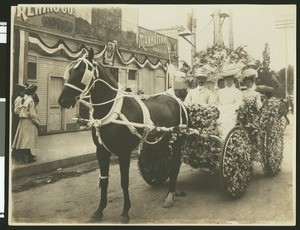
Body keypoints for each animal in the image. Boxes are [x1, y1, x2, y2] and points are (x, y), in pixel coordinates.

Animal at [57, 49, 186, 223]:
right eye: (70, 71)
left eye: (82, 70)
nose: (62, 100)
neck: (111, 111)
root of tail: (175, 98)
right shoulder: (101, 151)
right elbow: (104, 180)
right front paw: (100, 210)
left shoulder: (123, 152)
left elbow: (124, 181)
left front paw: (125, 211)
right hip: (162, 141)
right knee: (166, 161)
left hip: (177, 140)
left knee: (175, 164)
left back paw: (170, 195)